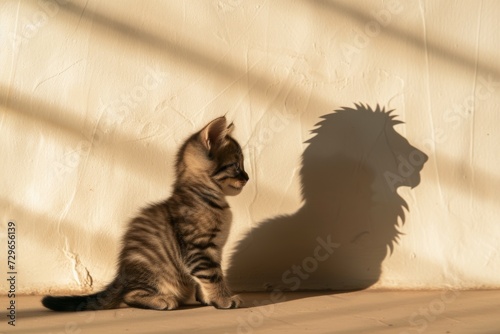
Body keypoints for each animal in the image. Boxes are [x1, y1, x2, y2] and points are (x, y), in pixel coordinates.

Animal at [42, 117, 249, 310]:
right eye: (236, 165)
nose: (247, 178)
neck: (206, 196)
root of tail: (122, 275)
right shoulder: (200, 249)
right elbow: (212, 277)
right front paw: (224, 299)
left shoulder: (213, 251)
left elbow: (205, 279)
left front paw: (208, 299)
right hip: (155, 273)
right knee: (129, 296)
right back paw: (162, 300)